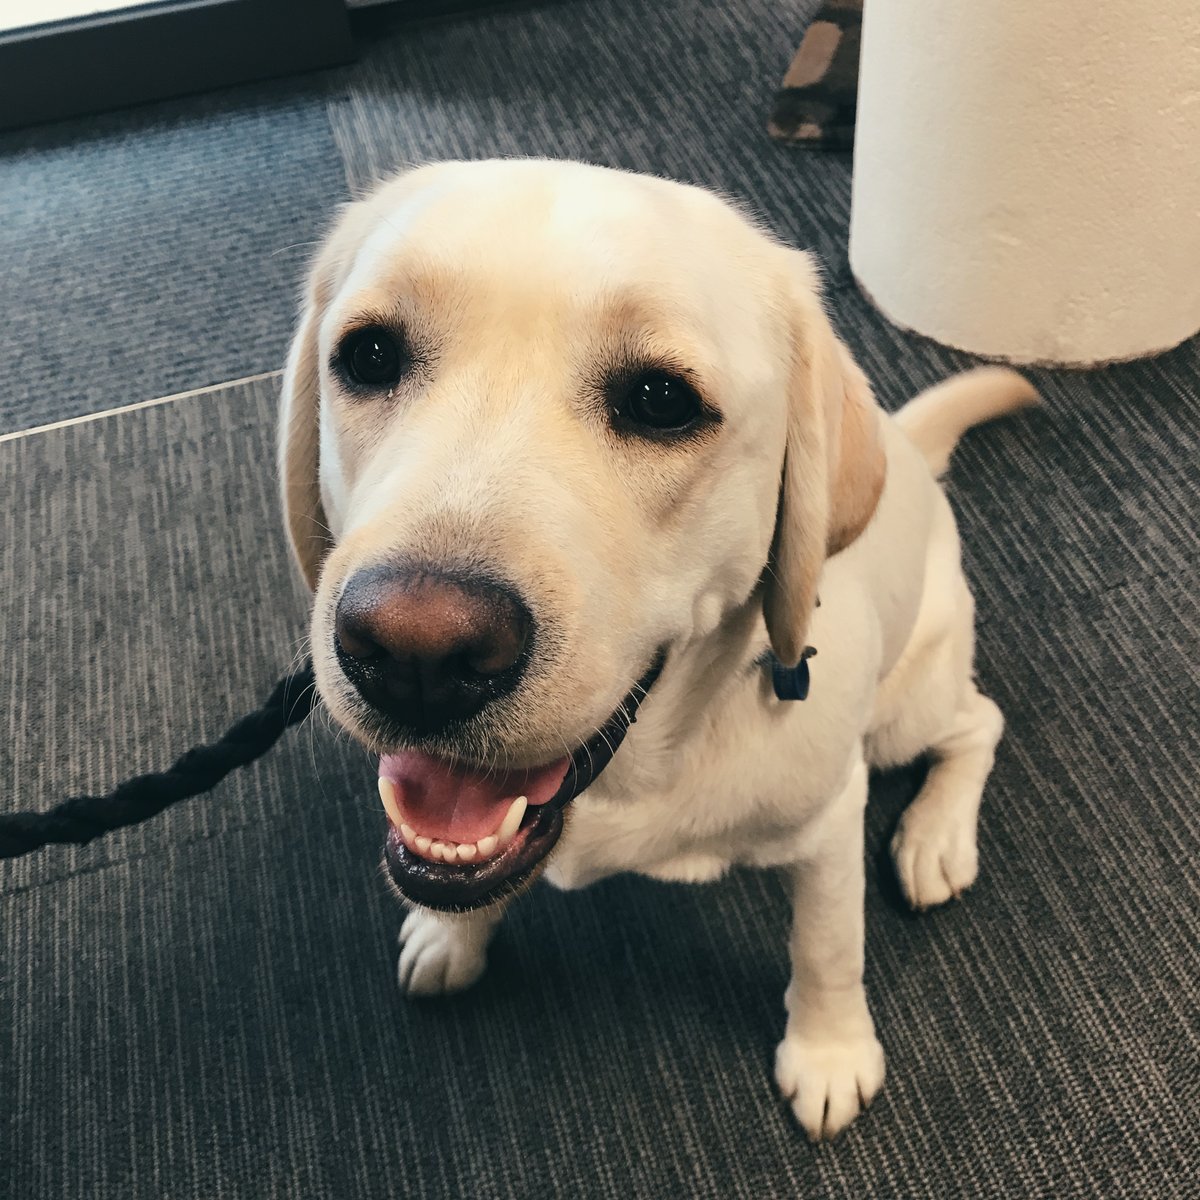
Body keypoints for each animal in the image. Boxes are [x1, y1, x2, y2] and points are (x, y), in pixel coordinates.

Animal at [276, 157, 1036, 1132]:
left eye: (661, 401)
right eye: (369, 356)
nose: (416, 654)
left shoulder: (830, 822)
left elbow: (827, 947)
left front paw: (829, 1052)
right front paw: (452, 935)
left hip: (907, 704)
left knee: (979, 722)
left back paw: (935, 836)